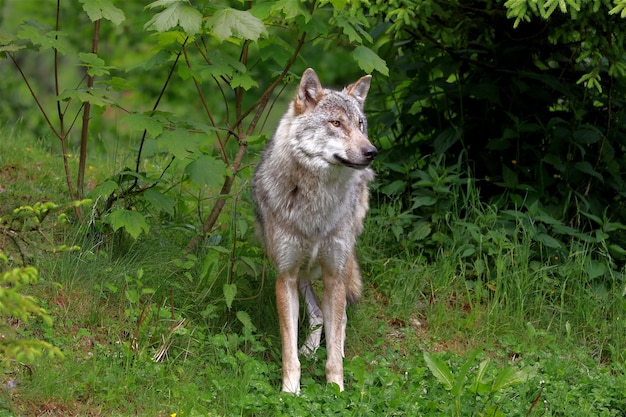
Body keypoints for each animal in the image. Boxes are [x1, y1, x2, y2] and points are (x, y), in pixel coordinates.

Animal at [250, 68, 376, 394]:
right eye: (336, 123)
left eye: (360, 124)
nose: (371, 151)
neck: (316, 205)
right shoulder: (286, 276)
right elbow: (288, 349)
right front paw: (290, 391)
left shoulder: (334, 276)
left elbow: (334, 345)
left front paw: (336, 389)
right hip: (302, 271)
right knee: (318, 314)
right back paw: (309, 349)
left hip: (339, 266)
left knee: (339, 319)